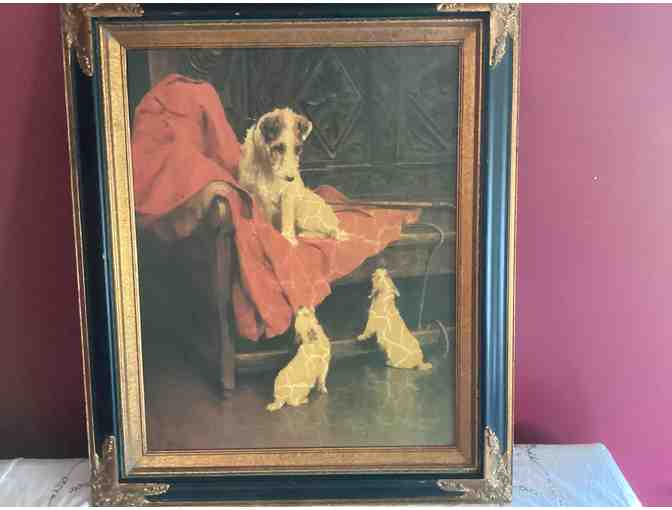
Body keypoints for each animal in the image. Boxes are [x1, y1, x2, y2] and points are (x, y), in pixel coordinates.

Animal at [238, 107, 348, 246]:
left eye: (297, 149)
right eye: (279, 148)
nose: (291, 179)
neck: (266, 165)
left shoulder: (287, 195)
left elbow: (287, 217)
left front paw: (288, 238)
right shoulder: (253, 193)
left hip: (305, 214)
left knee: (331, 232)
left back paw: (306, 234)